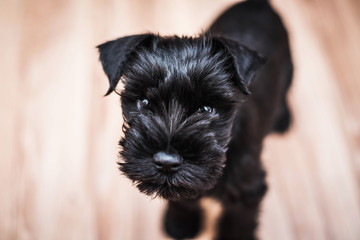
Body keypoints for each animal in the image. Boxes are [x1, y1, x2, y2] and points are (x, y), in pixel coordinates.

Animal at [96, 0, 292, 238]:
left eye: (206, 109)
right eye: (144, 102)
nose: (167, 162)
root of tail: (258, 4)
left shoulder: (248, 191)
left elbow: (238, 222)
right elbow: (183, 201)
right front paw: (179, 225)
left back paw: (282, 119)